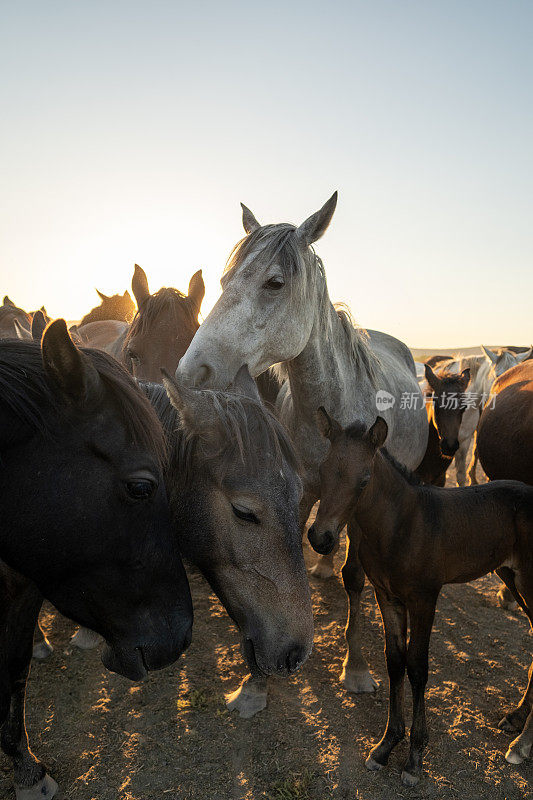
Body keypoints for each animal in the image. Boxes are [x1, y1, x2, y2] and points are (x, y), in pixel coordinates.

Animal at [177, 191, 426, 716]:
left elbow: (356, 580)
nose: (191, 372)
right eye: (224, 281)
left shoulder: (361, 500)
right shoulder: (296, 494)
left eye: (275, 283)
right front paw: (254, 686)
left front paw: (356, 668)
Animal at [308, 410, 532, 784]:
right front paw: (386, 745)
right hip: (512, 578)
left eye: (364, 480)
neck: (402, 525)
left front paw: (414, 757)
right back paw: (516, 719)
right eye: (322, 471)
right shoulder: (387, 595)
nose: (320, 537)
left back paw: (522, 744)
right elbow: (395, 660)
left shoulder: (425, 598)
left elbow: (418, 666)